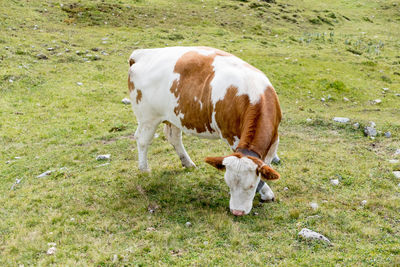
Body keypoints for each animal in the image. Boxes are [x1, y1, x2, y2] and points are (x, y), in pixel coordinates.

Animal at [128, 47, 282, 217]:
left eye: (250, 186)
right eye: (228, 184)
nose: (237, 212)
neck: (255, 94)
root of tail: (143, 53)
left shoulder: (274, 138)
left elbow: (265, 166)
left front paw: (265, 191)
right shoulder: (232, 137)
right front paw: (266, 192)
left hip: (173, 116)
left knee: (173, 138)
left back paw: (188, 163)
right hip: (148, 117)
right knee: (143, 140)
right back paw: (144, 169)